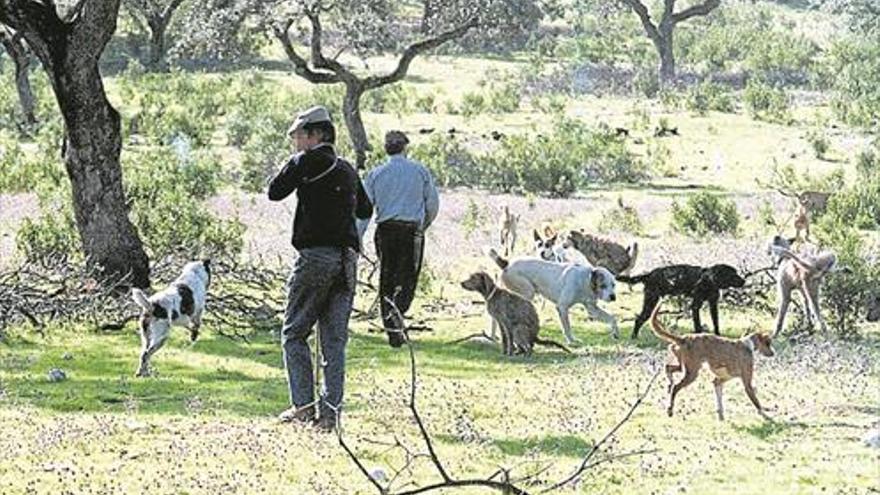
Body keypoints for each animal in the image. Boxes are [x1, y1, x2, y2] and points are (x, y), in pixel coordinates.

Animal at [488, 250, 620, 342]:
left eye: (613, 285)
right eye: (603, 285)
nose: (613, 297)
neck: (585, 279)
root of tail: (506, 264)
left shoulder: (592, 308)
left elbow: (612, 318)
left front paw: (615, 333)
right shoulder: (562, 307)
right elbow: (567, 327)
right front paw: (571, 340)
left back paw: (494, 336)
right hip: (527, 293)